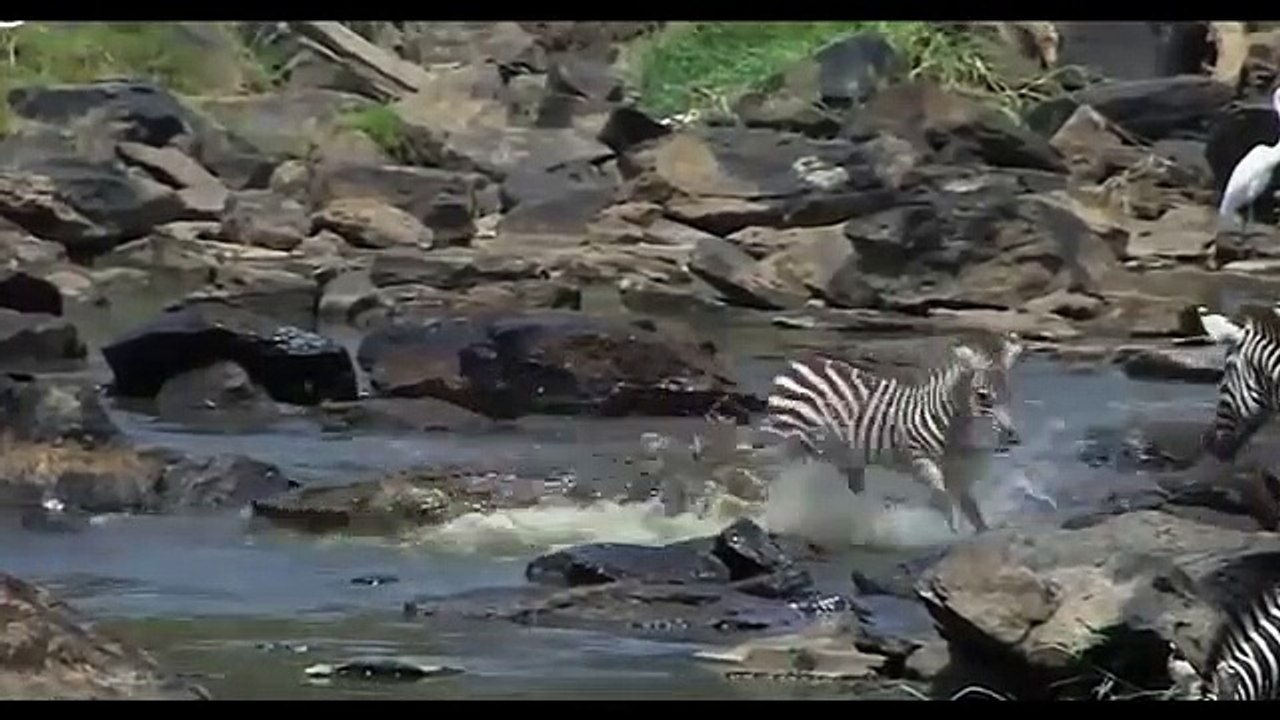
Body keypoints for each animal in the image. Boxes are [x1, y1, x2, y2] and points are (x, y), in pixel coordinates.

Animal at [760, 335, 1023, 534]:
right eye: (982, 396)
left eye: (1009, 394)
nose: (1013, 437)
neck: (950, 425)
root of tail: (797, 364)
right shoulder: (919, 460)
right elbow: (943, 496)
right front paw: (952, 529)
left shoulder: (956, 471)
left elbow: (971, 506)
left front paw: (982, 532)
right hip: (791, 439)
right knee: (775, 480)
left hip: (847, 457)